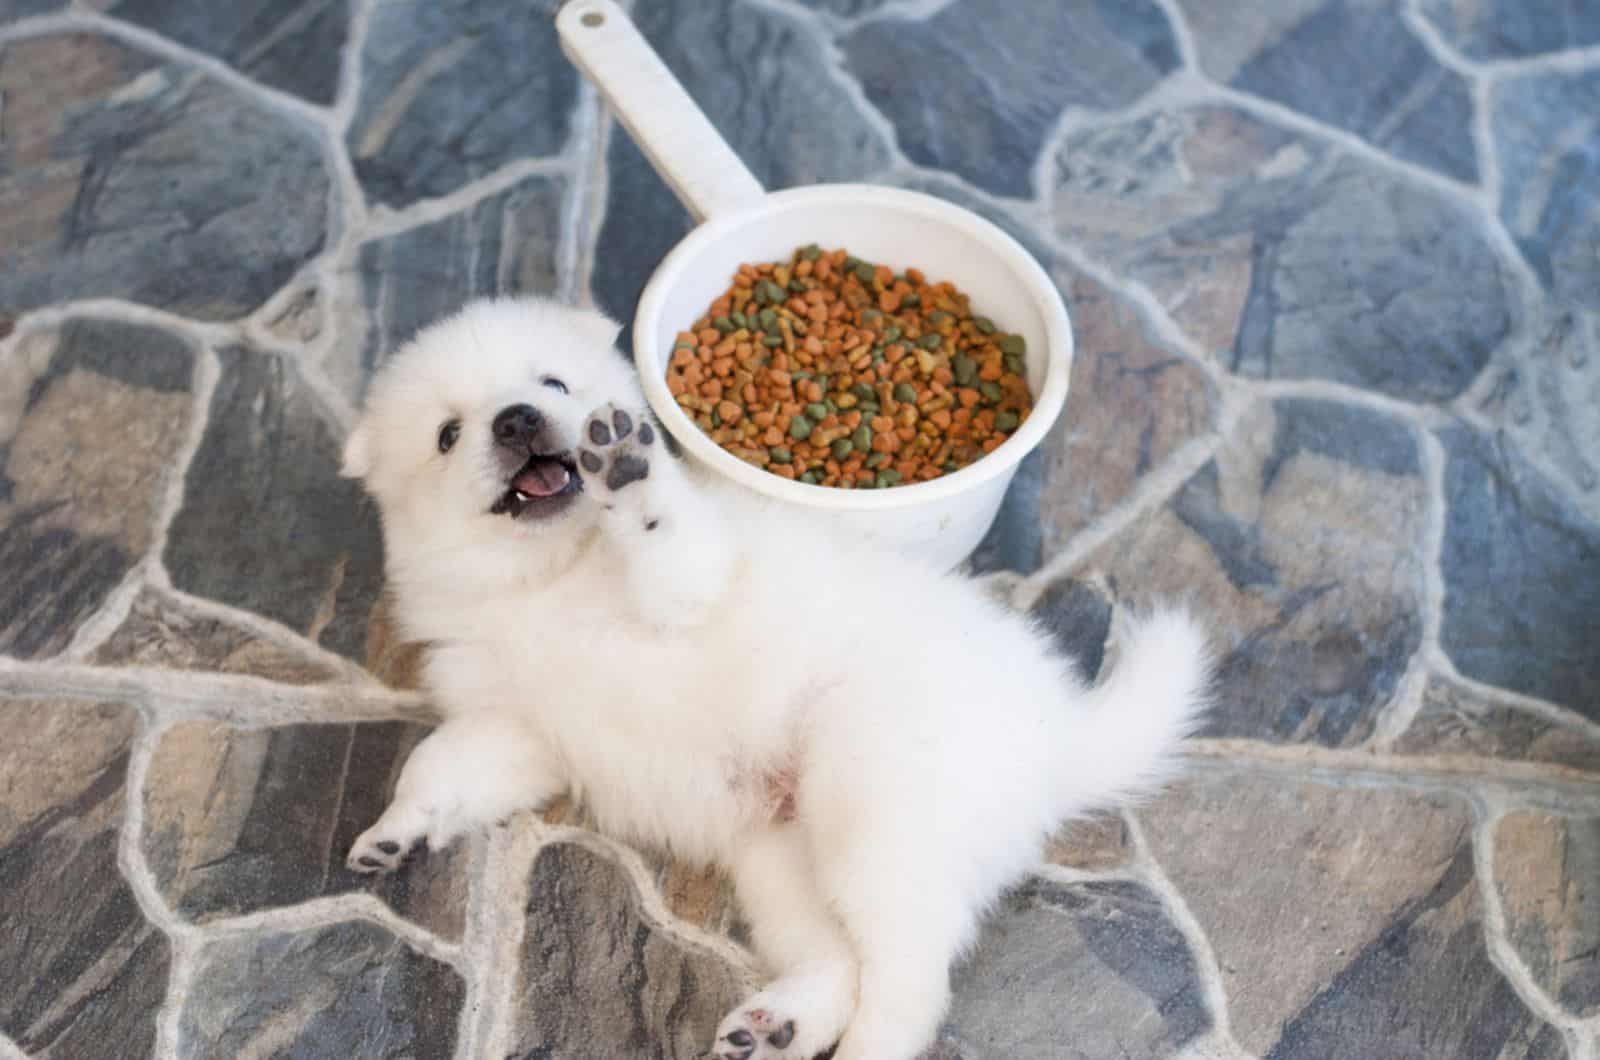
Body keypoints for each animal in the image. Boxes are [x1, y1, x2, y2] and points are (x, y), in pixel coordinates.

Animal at [340, 296, 1209, 1060]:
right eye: (449, 434)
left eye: (551, 383)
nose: (517, 419)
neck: (544, 577)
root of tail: (1057, 736)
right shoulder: (521, 725)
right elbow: (443, 764)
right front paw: (397, 829)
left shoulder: (689, 582)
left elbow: (664, 539)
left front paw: (628, 470)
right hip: (784, 860)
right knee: (841, 960)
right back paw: (782, 1023)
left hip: (874, 809)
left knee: (910, 982)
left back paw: (863, 1048)